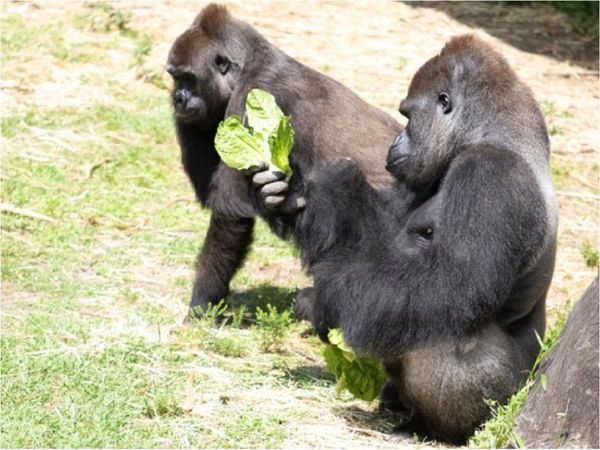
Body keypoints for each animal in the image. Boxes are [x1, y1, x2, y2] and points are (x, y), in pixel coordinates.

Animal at [166, 3, 406, 314]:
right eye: (175, 79)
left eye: (188, 78)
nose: (178, 98)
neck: (251, 62)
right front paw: (270, 196)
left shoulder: (248, 99)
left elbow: (230, 214)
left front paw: (201, 302)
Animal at [252, 35, 556, 442]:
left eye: (408, 117)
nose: (396, 140)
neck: (499, 136)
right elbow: (382, 228)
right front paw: (290, 199)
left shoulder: (492, 174)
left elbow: (449, 289)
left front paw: (322, 298)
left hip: (505, 400)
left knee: (446, 331)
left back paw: (434, 428)